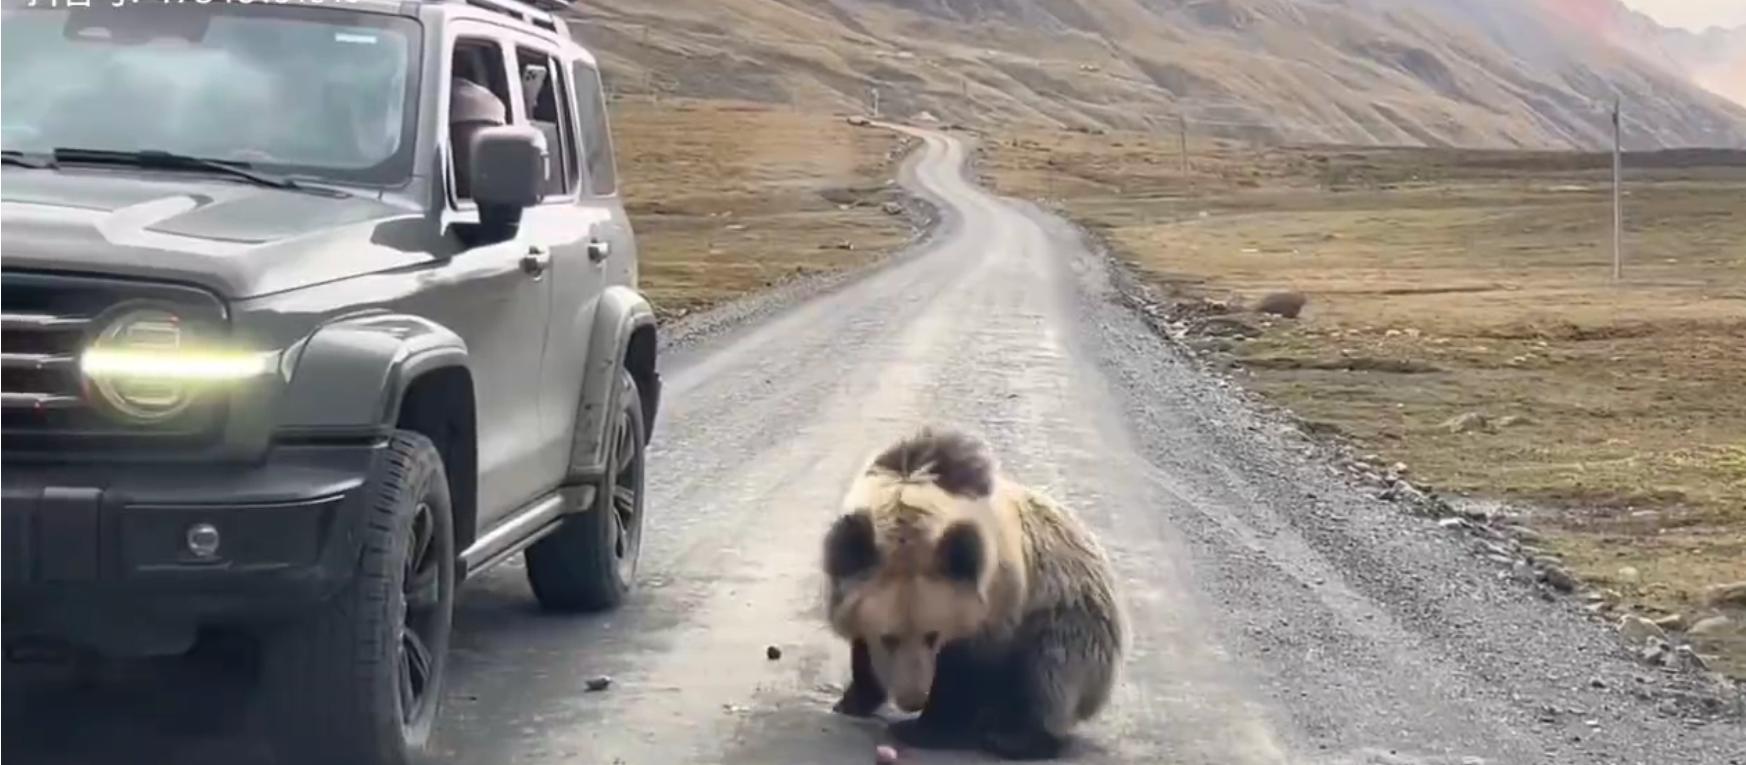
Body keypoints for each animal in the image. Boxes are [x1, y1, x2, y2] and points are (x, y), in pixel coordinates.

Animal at [820, 424, 1124, 758]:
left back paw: (1014, 736)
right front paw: (853, 699)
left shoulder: (995, 598)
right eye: (889, 638)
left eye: (932, 635)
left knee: (1050, 672)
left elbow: (964, 671)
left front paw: (925, 728)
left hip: (1069, 613)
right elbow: (862, 647)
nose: (912, 699)